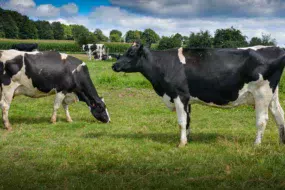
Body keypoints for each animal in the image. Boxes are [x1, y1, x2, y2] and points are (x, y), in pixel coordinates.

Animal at [111, 42, 285, 147]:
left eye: (131, 53)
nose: (114, 65)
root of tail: (277, 48)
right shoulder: (186, 99)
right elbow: (188, 121)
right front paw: (187, 139)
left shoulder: (179, 95)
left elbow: (181, 121)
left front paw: (181, 143)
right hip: (272, 95)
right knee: (279, 115)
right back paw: (281, 141)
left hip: (262, 93)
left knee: (262, 120)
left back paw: (256, 144)